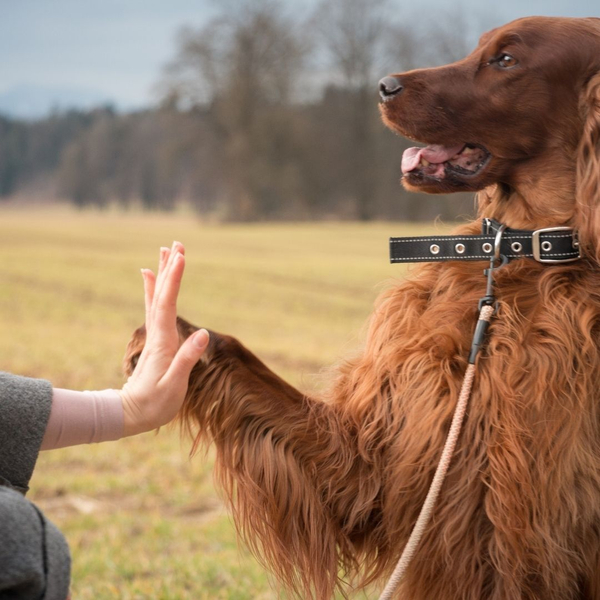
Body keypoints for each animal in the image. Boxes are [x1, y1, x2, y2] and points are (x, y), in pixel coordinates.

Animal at [124, 16, 600, 600]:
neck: (517, 257)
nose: (384, 85)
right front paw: (170, 340)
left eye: (506, 59)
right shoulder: (379, 462)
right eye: (479, 47)